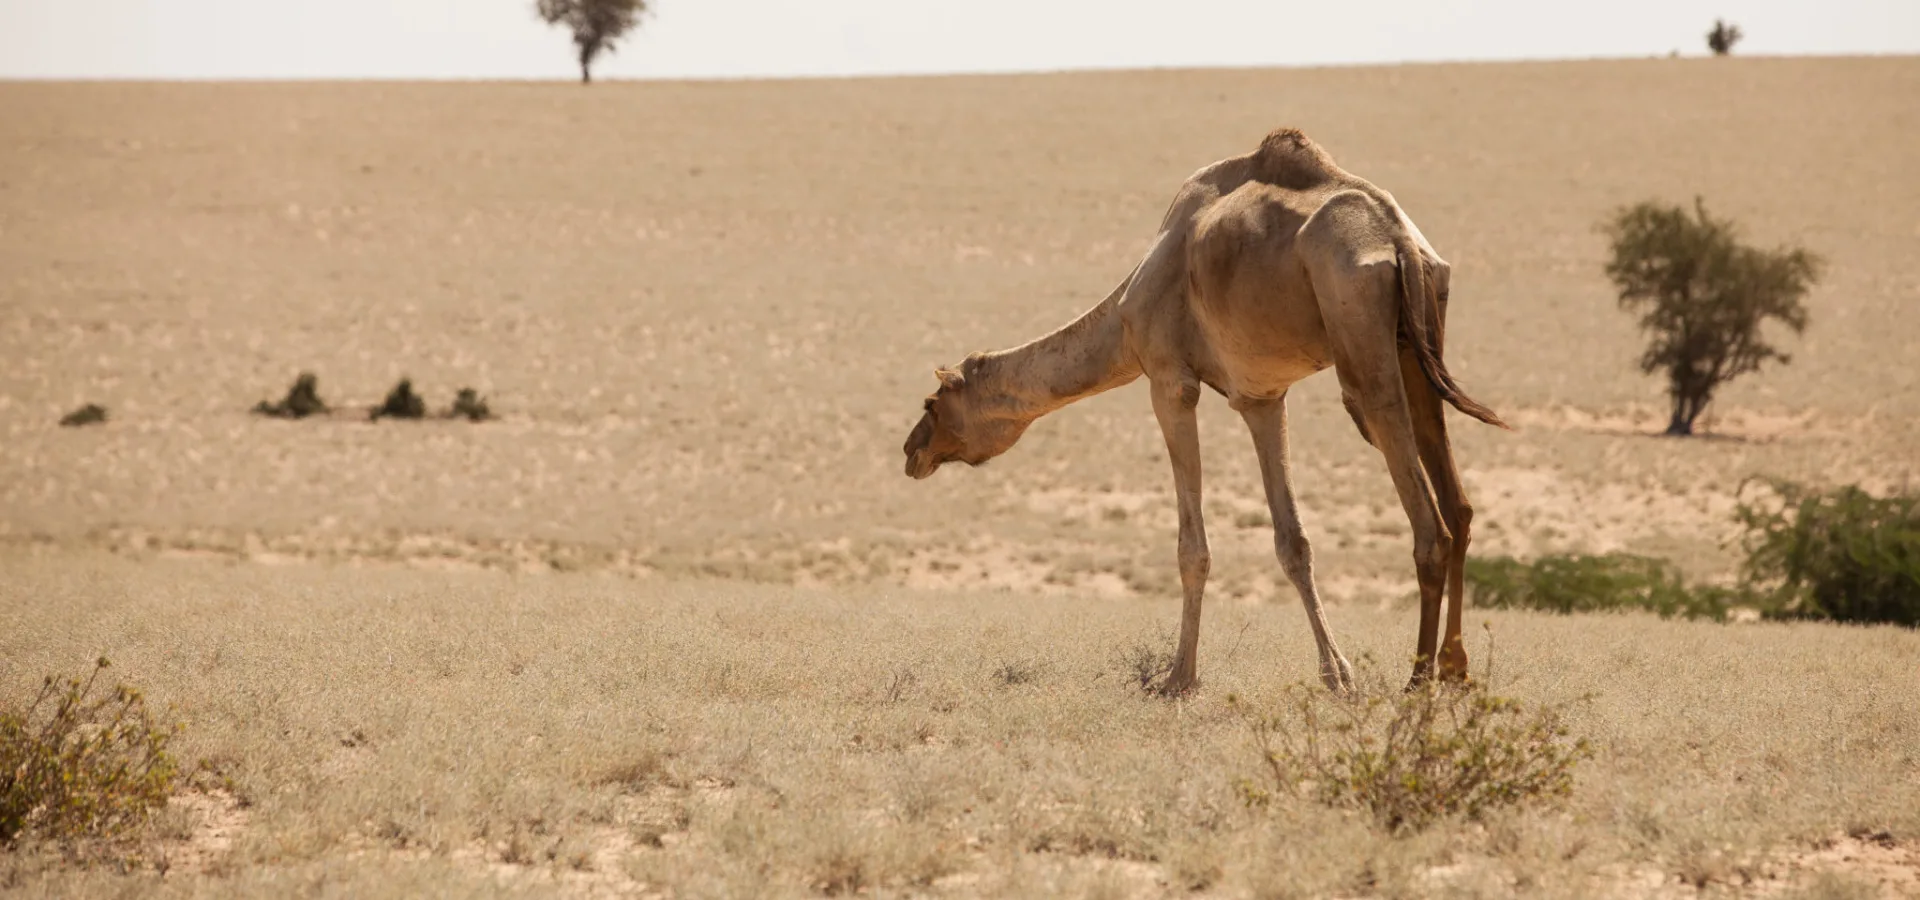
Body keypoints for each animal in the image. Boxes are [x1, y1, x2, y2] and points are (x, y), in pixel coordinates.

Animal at [901, 128, 1508, 694]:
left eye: (933, 403)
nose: (911, 451)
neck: (1125, 313)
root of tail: (1402, 244)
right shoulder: (1260, 396)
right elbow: (1293, 542)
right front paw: (1337, 674)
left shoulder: (1169, 381)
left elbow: (1192, 547)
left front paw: (1178, 678)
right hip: (1418, 343)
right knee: (1458, 508)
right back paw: (1455, 669)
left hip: (1361, 344)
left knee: (1429, 524)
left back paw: (1418, 680)